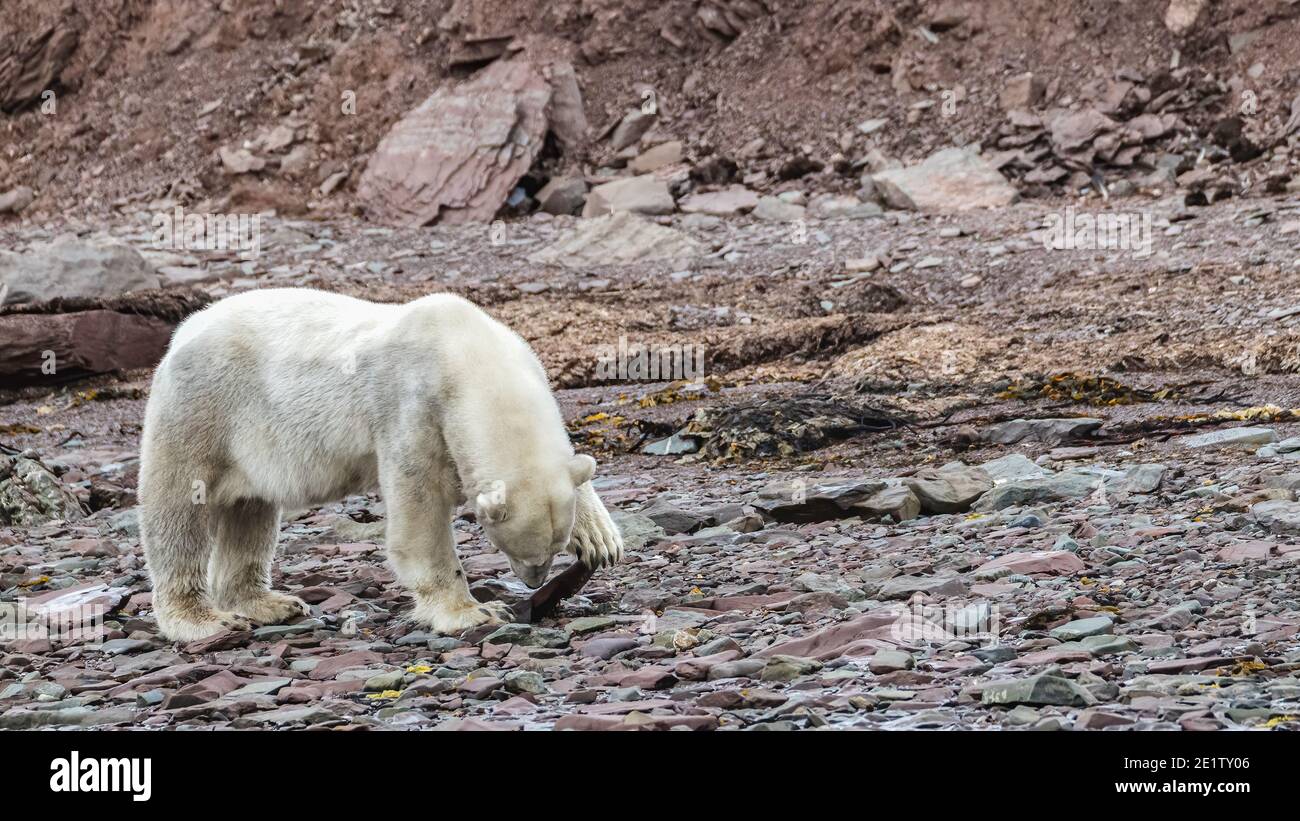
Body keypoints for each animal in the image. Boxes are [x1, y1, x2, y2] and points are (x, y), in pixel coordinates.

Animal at [139, 288, 626, 641]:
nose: (533, 580)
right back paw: (203, 619)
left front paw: (600, 539)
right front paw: (472, 611)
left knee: (250, 511)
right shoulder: (413, 406)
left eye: (554, 546)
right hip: (204, 409)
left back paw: (269, 603)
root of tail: (184, 330)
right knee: (179, 511)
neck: (469, 351)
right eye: (526, 552)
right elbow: (420, 512)